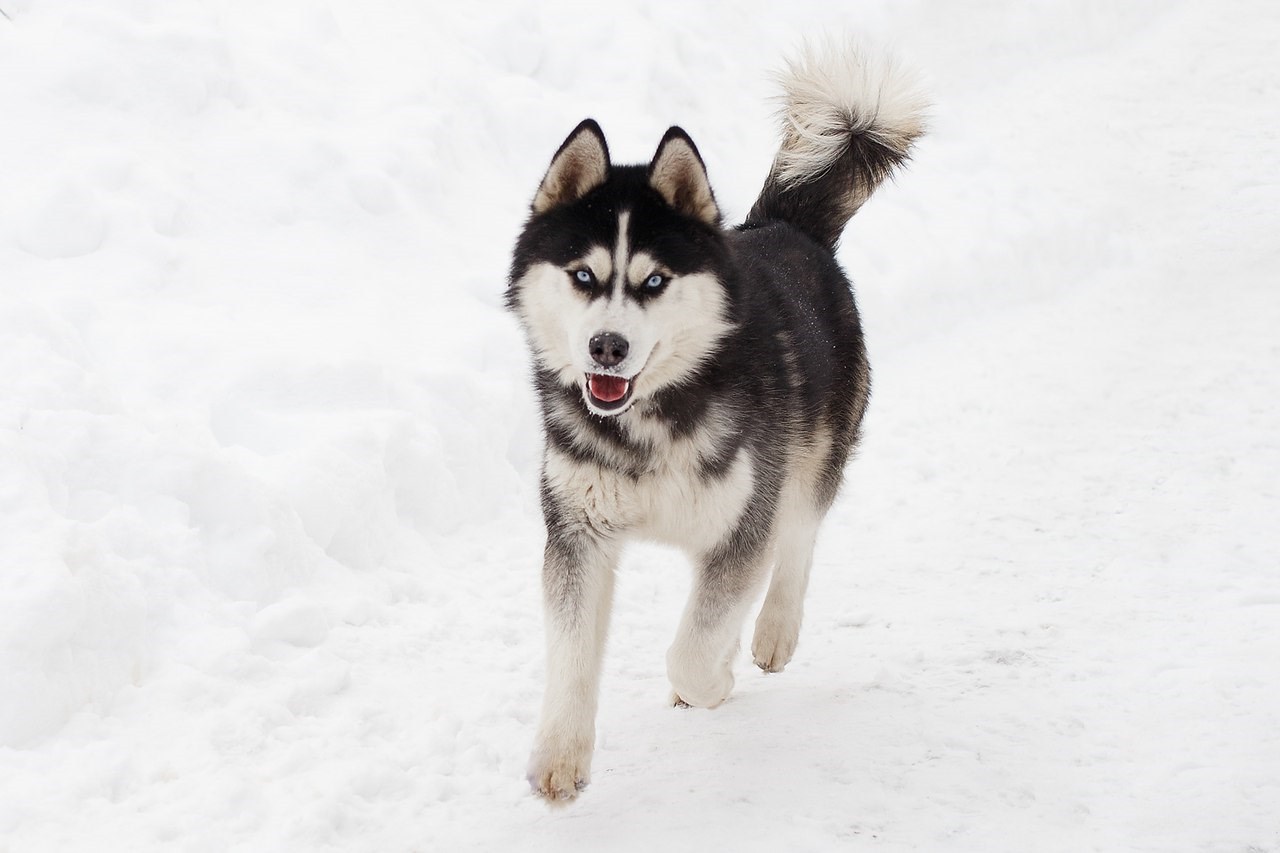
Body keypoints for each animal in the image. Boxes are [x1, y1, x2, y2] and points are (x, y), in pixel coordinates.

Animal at [504, 43, 926, 799]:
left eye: (653, 281)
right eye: (583, 276)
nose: (606, 346)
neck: (650, 420)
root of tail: (785, 228)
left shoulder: (741, 526)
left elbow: (693, 651)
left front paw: (714, 679)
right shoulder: (578, 531)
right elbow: (573, 649)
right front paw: (560, 755)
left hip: (811, 456)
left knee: (799, 538)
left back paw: (772, 632)